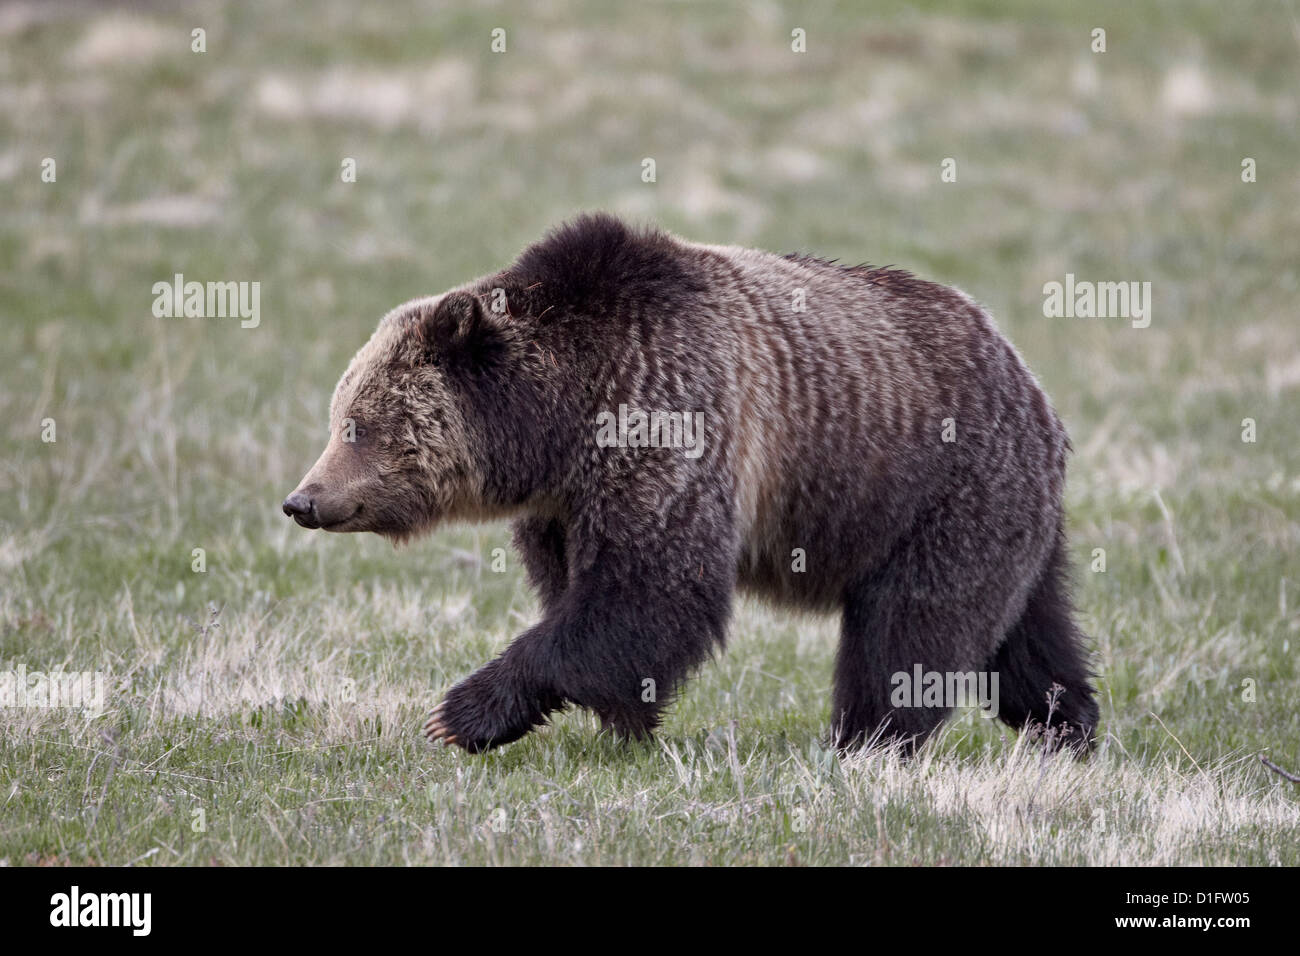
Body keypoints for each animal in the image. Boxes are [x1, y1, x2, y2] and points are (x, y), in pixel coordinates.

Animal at [282, 214, 1097, 754]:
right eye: (339, 415)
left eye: (358, 424)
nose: (303, 500)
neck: (562, 421)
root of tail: (1032, 385)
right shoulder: (565, 502)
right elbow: (586, 594)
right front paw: (625, 721)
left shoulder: (668, 418)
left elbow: (650, 589)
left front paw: (461, 714)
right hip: (1006, 518)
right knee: (1031, 634)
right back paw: (1066, 727)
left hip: (939, 490)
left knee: (912, 628)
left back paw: (866, 739)